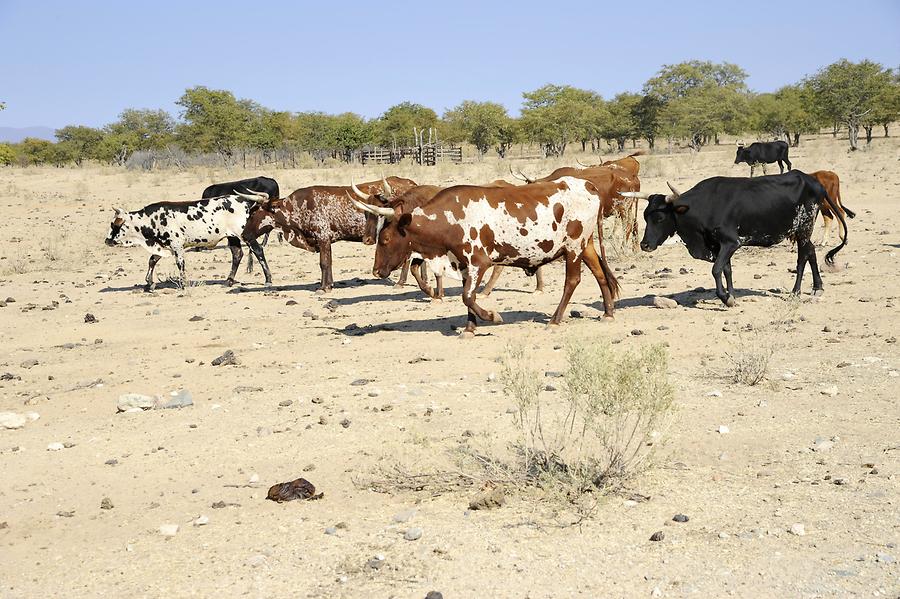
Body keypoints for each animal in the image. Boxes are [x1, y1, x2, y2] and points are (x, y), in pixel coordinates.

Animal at [104, 192, 270, 292]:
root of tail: (246, 202)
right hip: (232, 237)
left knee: (258, 251)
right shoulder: (163, 246)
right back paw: (228, 281)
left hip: (245, 235)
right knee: (237, 254)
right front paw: (149, 283)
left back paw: (268, 279)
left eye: (114, 225)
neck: (152, 219)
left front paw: (183, 284)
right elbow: (152, 260)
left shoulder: (177, 246)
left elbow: (180, 265)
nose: (107, 240)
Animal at [243, 176, 418, 292]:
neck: (298, 206)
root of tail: (411, 184)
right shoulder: (326, 241)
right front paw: (329, 284)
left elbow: (324, 263)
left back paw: (400, 282)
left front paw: (324, 287)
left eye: (253, 213)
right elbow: (329, 262)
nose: (244, 235)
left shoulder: (323, 238)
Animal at [350, 177, 620, 338]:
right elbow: (467, 298)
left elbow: (468, 296)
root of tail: (587, 185)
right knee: (600, 274)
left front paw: (492, 316)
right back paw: (608, 313)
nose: (376, 271)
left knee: (572, 281)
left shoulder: (478, 263)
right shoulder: (462, 265)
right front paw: (470, 328)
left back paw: (555, 319)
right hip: (586, 246)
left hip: (573, 248)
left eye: (385, 239)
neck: (450, 218)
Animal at [624, 171, 848, 308]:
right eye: (645, 215)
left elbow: (716, 270)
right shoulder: (719, 246)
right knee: (811, 252)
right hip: (802, 231)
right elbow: (726, 270)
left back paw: (796, 291)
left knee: (803, 257)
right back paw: (817, 288)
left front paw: (726, 298)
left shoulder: (731, 243)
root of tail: (814, 181)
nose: (644, 244)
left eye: (660, 218)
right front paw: (731, 294)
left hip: (804, 228)